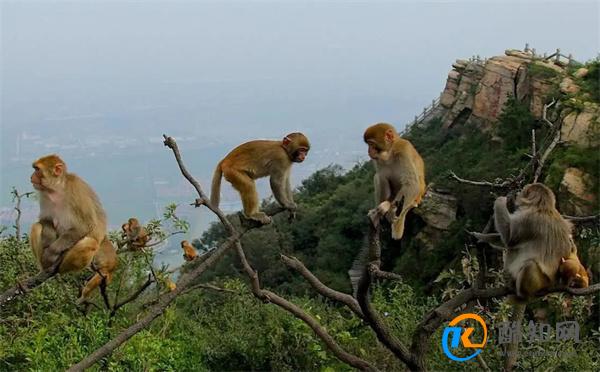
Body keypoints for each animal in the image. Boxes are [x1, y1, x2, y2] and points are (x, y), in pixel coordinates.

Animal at [28, 154, 117, 302]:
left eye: (37, 169)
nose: (31, 176)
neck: (57, 189)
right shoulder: (45, 195)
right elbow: (45, 220)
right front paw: (47, 244)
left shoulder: (76, 189)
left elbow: (85, 225)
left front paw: (51, 253)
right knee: (36, 227)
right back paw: (43, 268)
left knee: (90, 243)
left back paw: (59, 269)